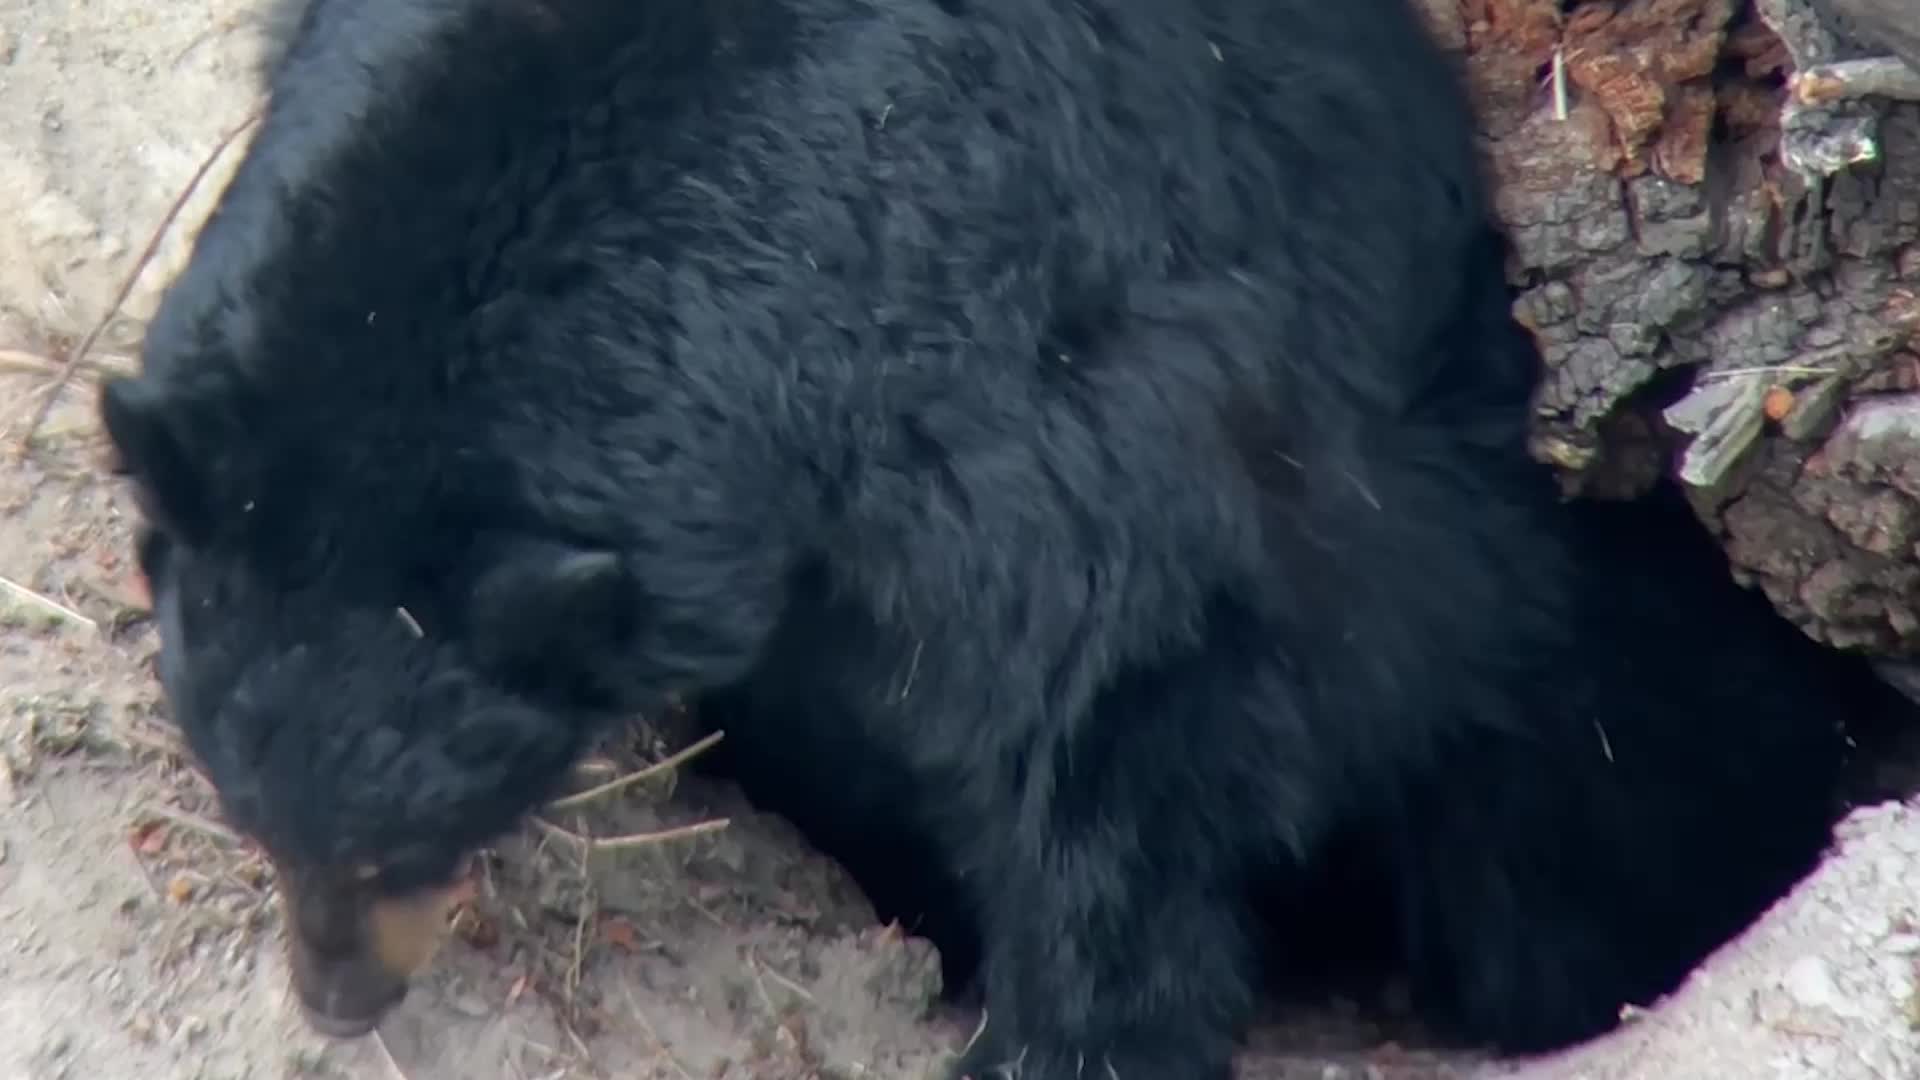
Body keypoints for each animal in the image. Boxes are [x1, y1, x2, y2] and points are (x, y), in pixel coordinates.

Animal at [97, 0, 1905, 1074]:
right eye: (253, 814)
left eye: (406, 837)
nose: (336, 998)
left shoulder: (1077, 404)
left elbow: (1118, 728)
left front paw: (1075, 1028)